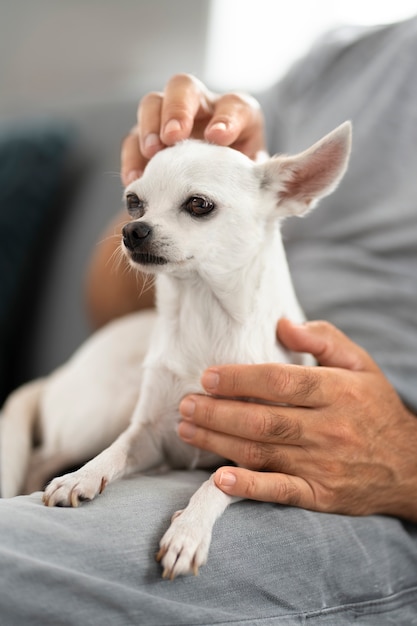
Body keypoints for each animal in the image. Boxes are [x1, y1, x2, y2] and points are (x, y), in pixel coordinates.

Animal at [0, 124, 352, 576]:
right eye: (133, 203)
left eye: (199, 204)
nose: (132, 230)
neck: (205, 314)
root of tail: (56, 377)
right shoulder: (149, 434)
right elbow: (117, 449)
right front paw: (83, 476)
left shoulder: (262, 457)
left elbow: (215, 482)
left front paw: (188, 531)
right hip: (101, 414)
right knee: (40, 457)